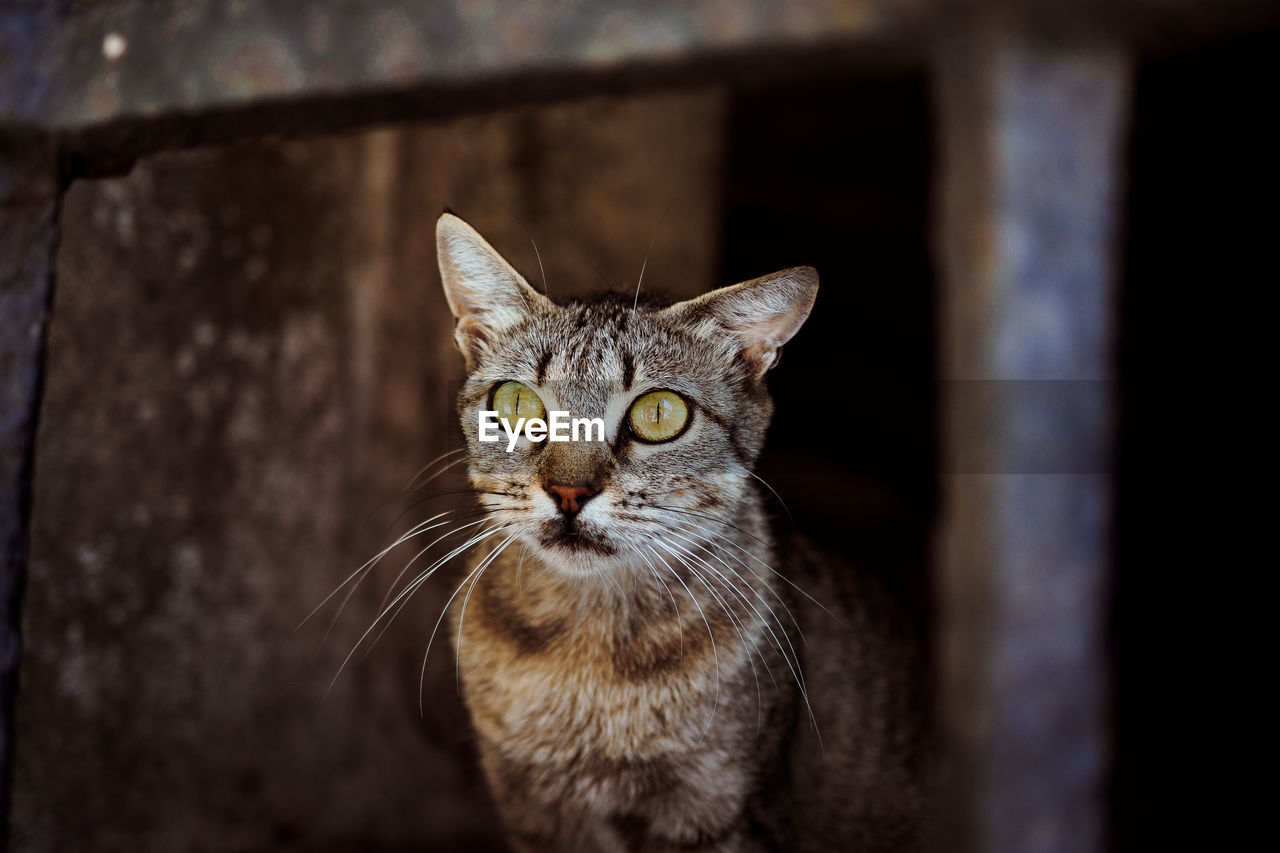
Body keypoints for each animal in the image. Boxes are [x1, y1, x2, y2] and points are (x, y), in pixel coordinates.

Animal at [435, 213, 926, 850]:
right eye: (517, 403)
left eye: (660, 413)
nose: (569, 492)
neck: (588, 659)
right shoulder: (534, 810)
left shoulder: (716, 811)